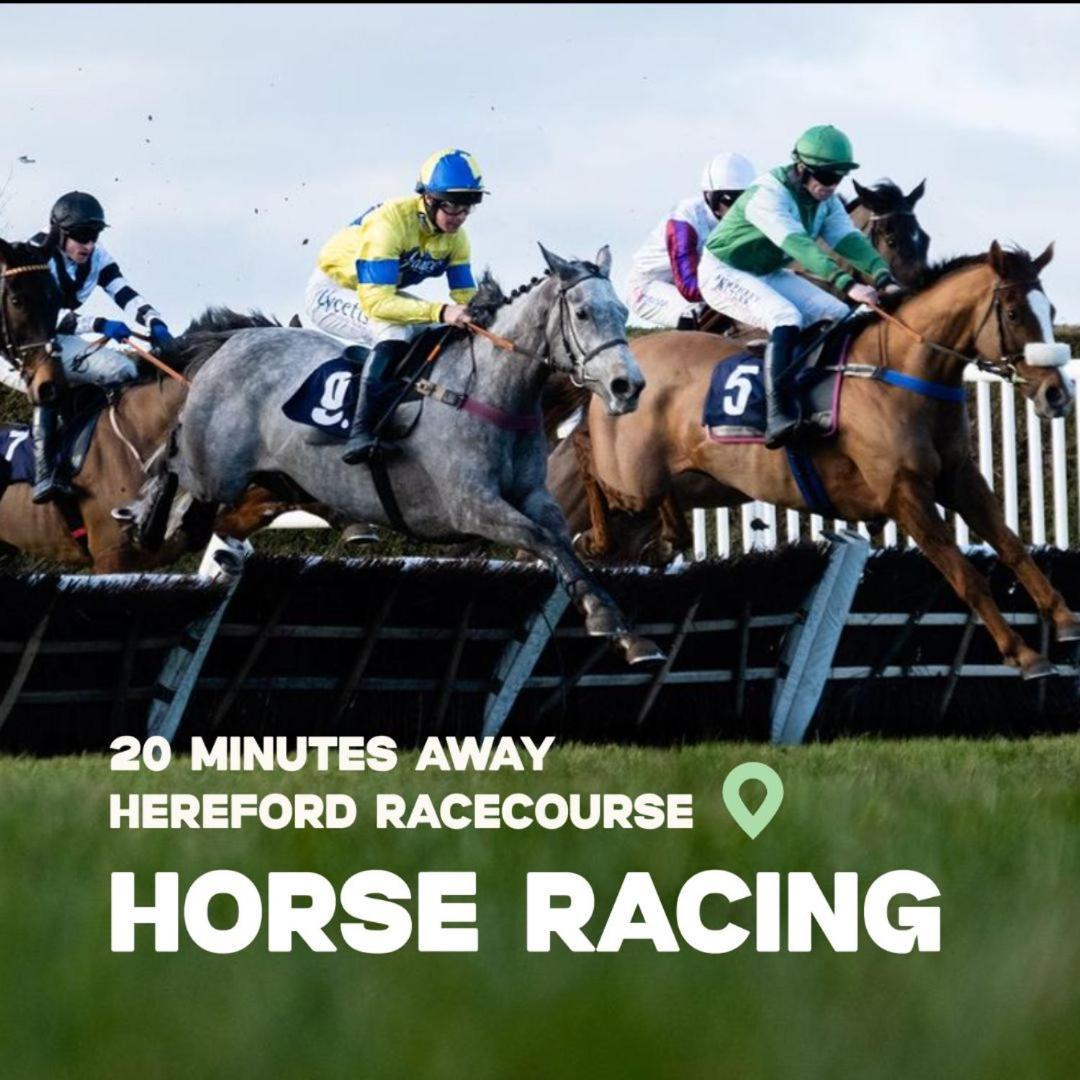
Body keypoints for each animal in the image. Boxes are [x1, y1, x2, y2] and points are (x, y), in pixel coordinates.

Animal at [130, 247, 660, 660]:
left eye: (621, 311)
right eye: (584, 313)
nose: (628, 386)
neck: (485, 390)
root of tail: (234, 339)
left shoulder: (534, 496)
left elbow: (562, 544)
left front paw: (625, 631)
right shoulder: (471, 506)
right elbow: (542, 539)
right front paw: (604, 618)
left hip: (274, 475)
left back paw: (346, 525)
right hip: (214, 468)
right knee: (173, 462)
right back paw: (147, 516)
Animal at [557, 248, 1080, 678]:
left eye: (1051, 312)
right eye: (1013, 312)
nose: (1057, 394)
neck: (900, 373)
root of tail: (625, 359)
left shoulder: (960, 477)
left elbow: (1012, 546)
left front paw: (1064, 618)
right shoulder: (904, 493)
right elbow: (965, 576)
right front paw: (1024, 653)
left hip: (702, 481)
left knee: (653, 508)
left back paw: (664, 541)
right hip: (631, 475)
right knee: (588, 458)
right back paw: (597, 541)